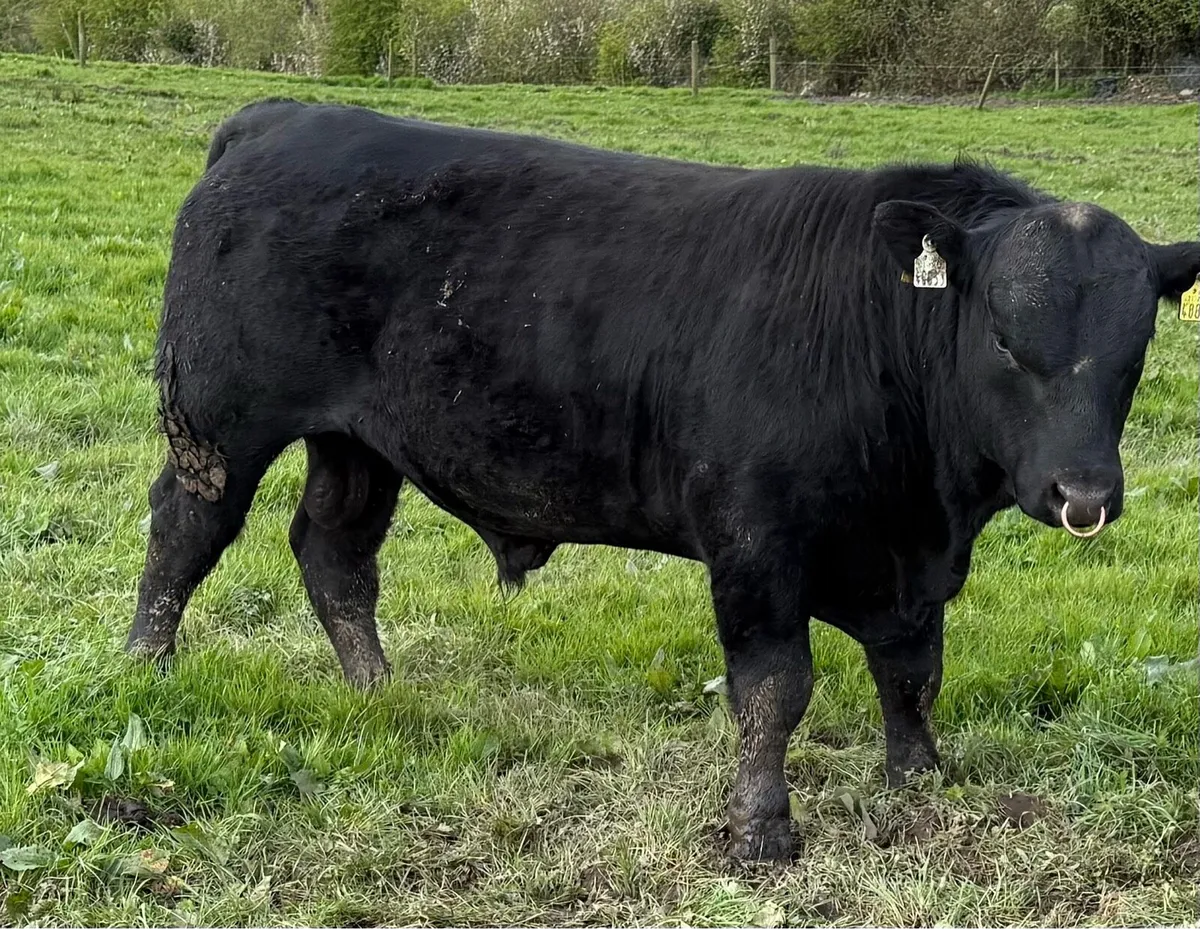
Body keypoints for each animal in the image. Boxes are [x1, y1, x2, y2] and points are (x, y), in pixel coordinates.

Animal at [127, 99, 1200, 860]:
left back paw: (379, 691)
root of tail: (279, 117)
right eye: (1008, 341)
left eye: (1135, 351)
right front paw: (762, 827)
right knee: (185, 530)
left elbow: (913, 672)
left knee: (335, 552)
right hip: (218, 418)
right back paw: (145, 667)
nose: (1083, 496)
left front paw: (919, 781)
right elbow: (774, 688)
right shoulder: (755, 543)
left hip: (357, 441)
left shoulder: (912, 564)